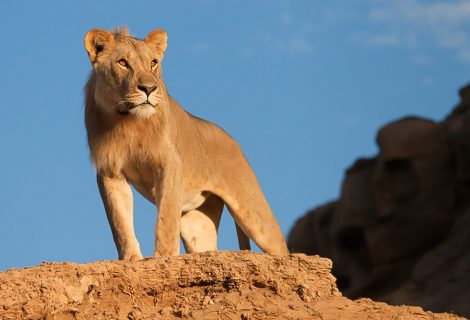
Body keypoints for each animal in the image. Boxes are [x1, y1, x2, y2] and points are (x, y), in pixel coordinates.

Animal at [84, 27, 290, 260]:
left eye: (153, 63)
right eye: (122, 62)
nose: (149, 89)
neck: (128, 121)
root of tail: (233, 140)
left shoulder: (170, 163)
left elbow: (165, 218)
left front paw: (164, 256)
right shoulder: (110, 171)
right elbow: (120, 221)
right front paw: (131, 258)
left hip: (253, 212)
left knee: (281, 247)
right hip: (198, 222)